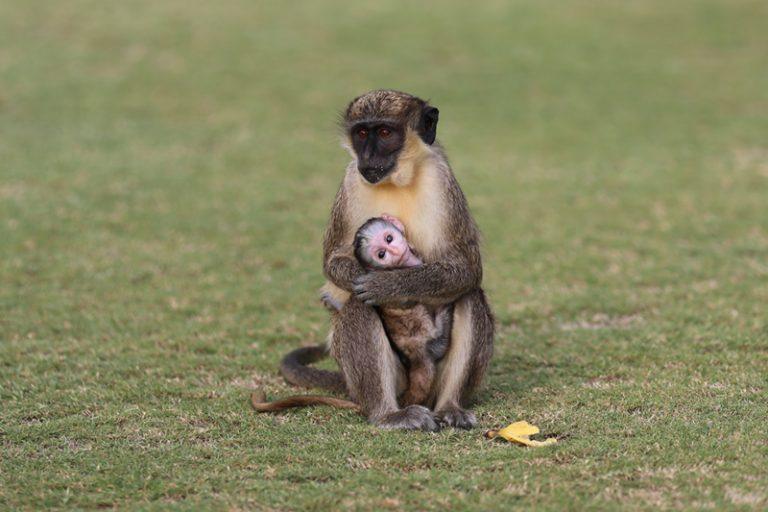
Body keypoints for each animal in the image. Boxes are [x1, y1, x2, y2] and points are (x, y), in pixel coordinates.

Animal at [278, 90, 494, 431]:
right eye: (361, 133)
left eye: (384, 133)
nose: (368, 158)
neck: (398, 180)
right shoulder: (351, 181)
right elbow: (333, 259)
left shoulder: (442, 179)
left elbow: (468, 269)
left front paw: (388, 285)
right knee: (357, 304)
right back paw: (386, 413)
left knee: (469, 295)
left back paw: (451, 406)